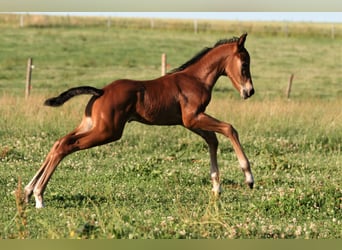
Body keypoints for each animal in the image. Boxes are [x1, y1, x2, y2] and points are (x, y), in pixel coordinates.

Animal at [24, 33, 254, 209]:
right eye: (244, 64)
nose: (249, 91)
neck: (195, 79)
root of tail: (101, 91)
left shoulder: (190, 122)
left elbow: (213, 140)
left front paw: (216, 187)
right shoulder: (192, 119)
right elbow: (229, 128)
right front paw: (248, 176)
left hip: (90, 125)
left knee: (59, 142)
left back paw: (28, 190)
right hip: (108, 131)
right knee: (66, 145)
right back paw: (38, 195)